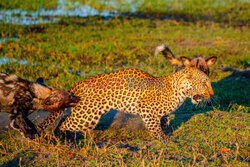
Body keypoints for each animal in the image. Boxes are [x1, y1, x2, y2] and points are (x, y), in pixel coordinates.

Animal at [38, 67, 213, 139]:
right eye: (204, 83)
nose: (211, 94)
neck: (179, 92)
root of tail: (80, 82)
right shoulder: (146, 109)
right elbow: (154, 126)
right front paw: (162, 137)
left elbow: (164, 119)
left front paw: (166, 127)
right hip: (87, 114)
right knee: (64, 123)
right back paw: (63, 136)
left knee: (65, 119)